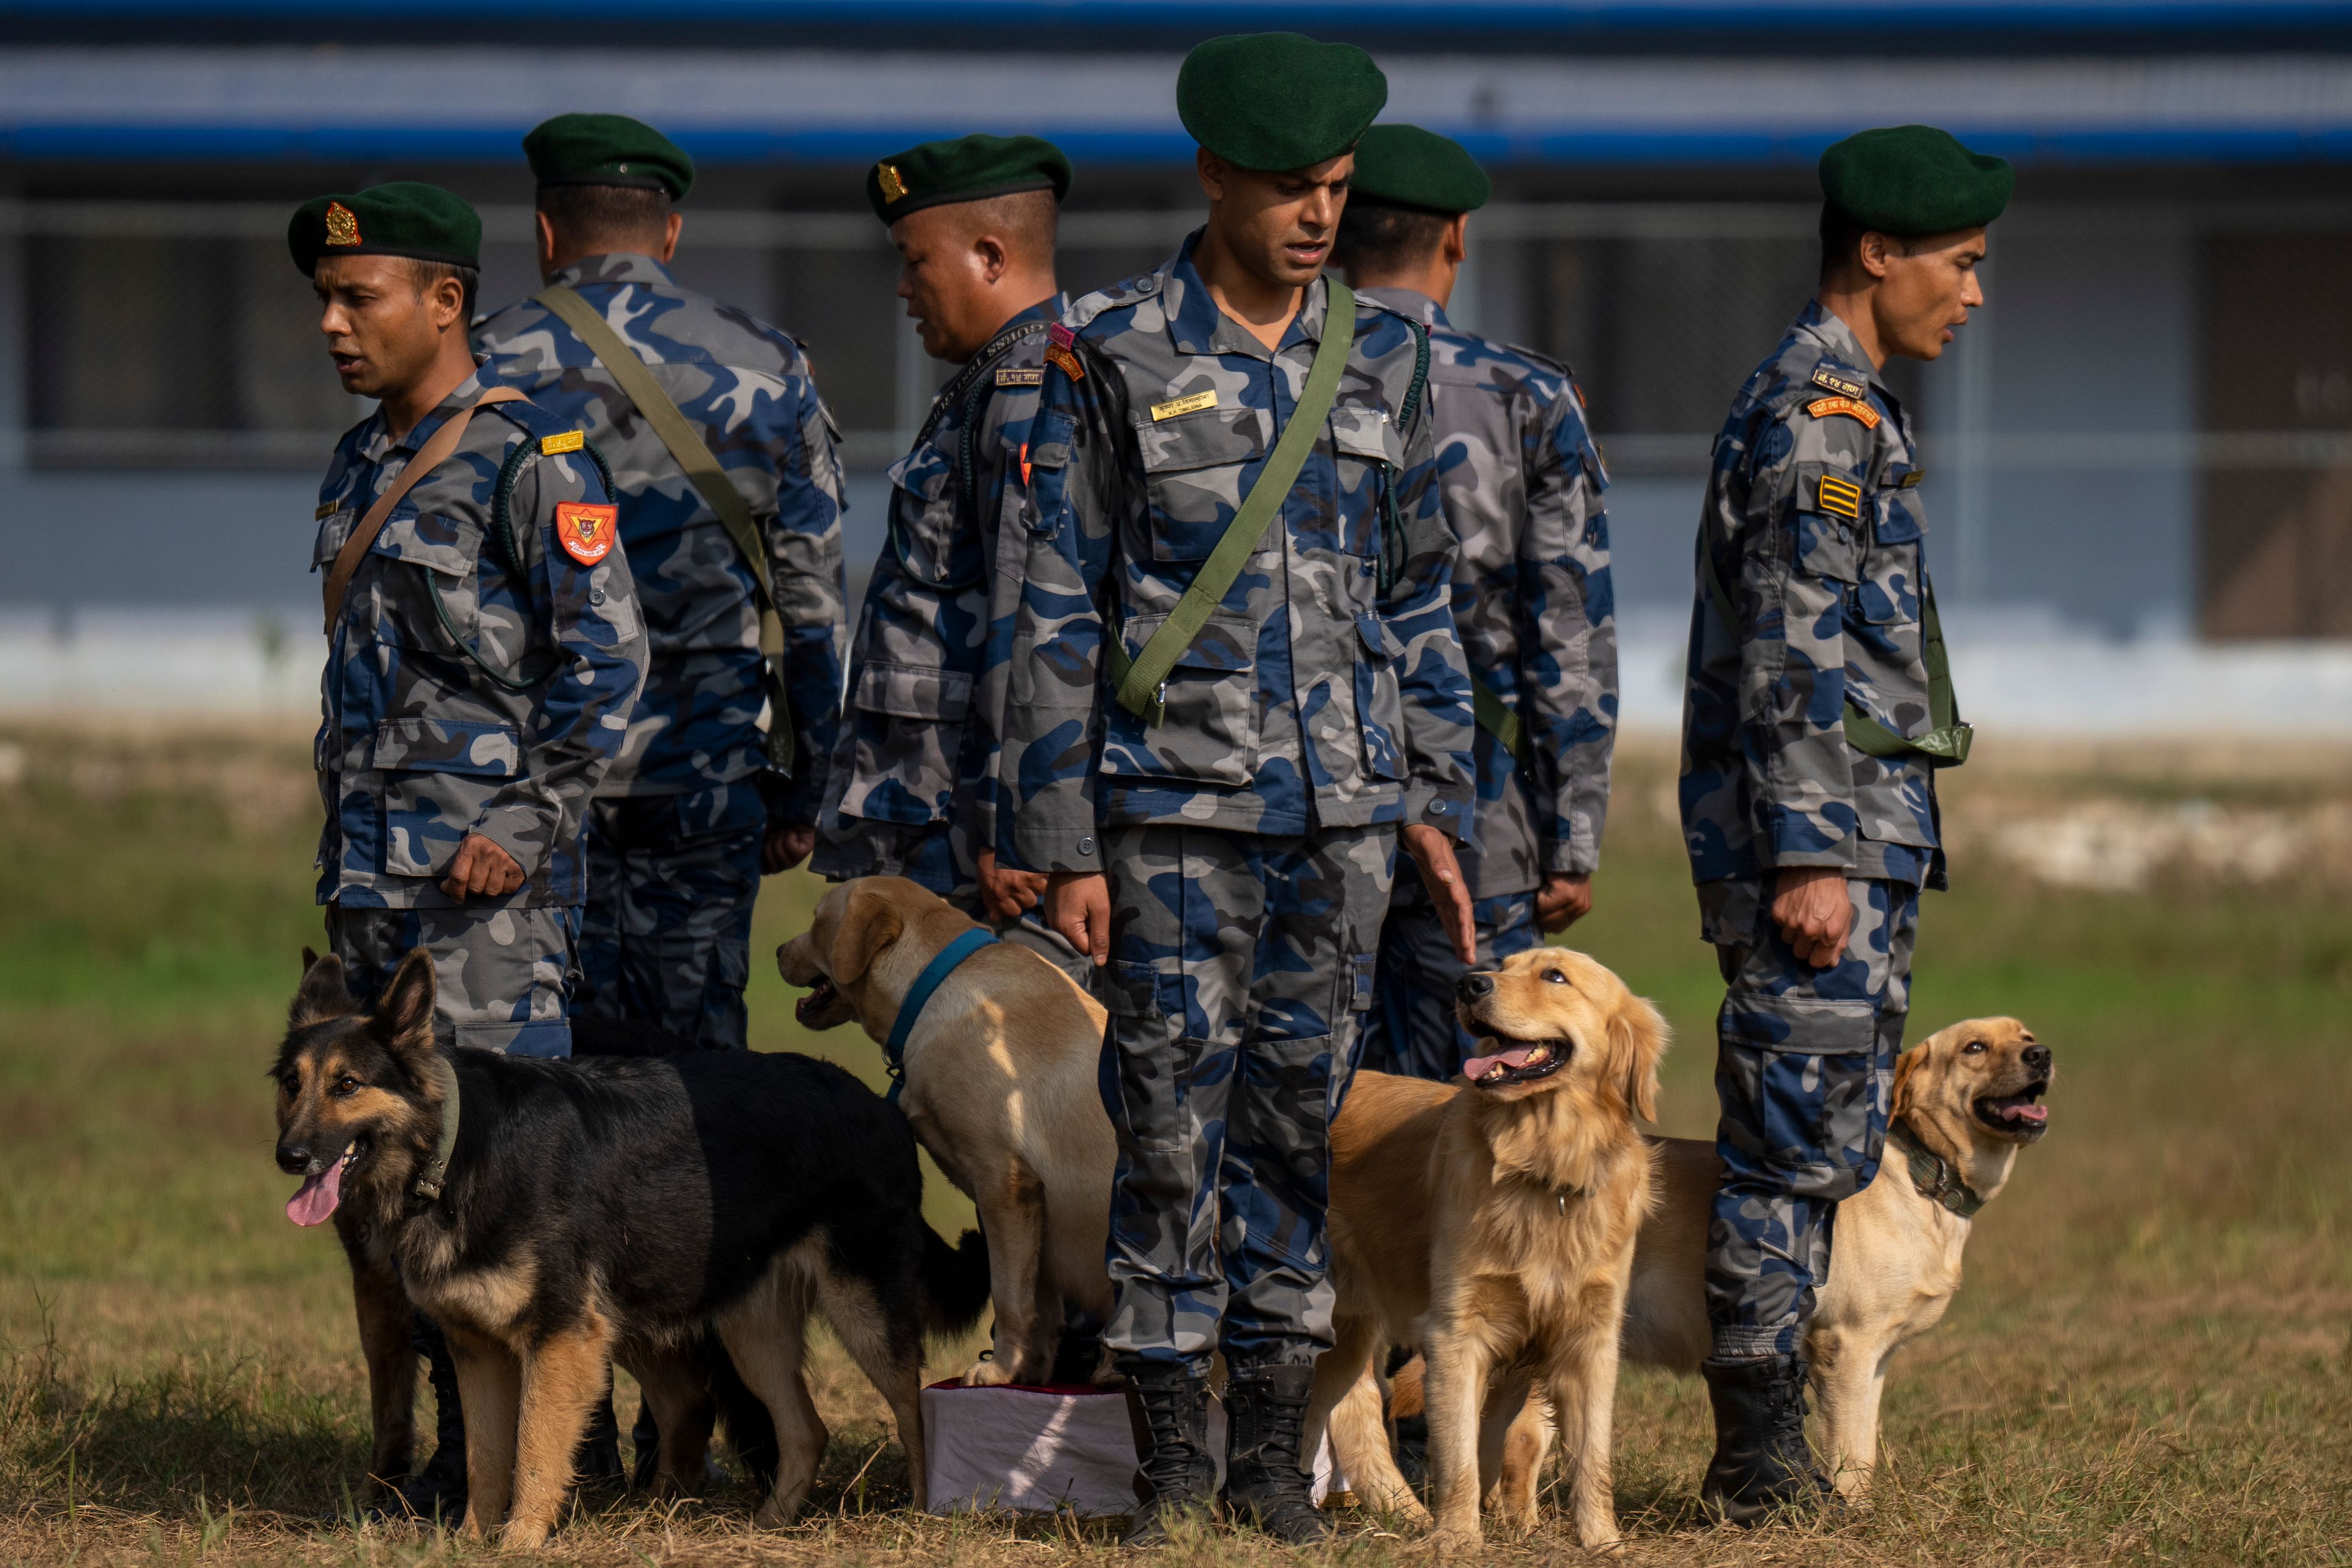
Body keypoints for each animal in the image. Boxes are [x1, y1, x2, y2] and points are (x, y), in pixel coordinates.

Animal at [275, 949, 992, 1551]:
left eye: (347, 1084)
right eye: (291, 1084)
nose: (290, 1157)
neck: (453, 1154)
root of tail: (881, 1102)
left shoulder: (560, 1342)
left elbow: (534, 1450)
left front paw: (518, 1542)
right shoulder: (478, 1354)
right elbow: (485, 1458)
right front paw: (470, 1539)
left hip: (863, 1314)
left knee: (911, 1410)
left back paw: (922, 1513)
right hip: (742, 1331)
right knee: (800, 1429)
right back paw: (767, 1525)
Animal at [776, 884, 1115, 1382]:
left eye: (818, 919)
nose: (778, 950)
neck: (934, 986)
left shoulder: (1005, 1185)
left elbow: (1010, 1299)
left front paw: (997, 1371)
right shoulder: (1037, 1219)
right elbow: (1041, 1308)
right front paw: (1027, 1378)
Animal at [1308, 949, 1675, 1551]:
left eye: (1555, 976)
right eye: (1504, 965)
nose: (1469, 983)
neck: (1544, 1170)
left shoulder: (1588, 1337)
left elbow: (1590, 1458)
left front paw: (1604, 1543)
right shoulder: (1457, 1331)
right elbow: (1458, 1455)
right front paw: (1457, 1539)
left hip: (1346, 1321)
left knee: (1346, 1411)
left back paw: (1402, 1515)